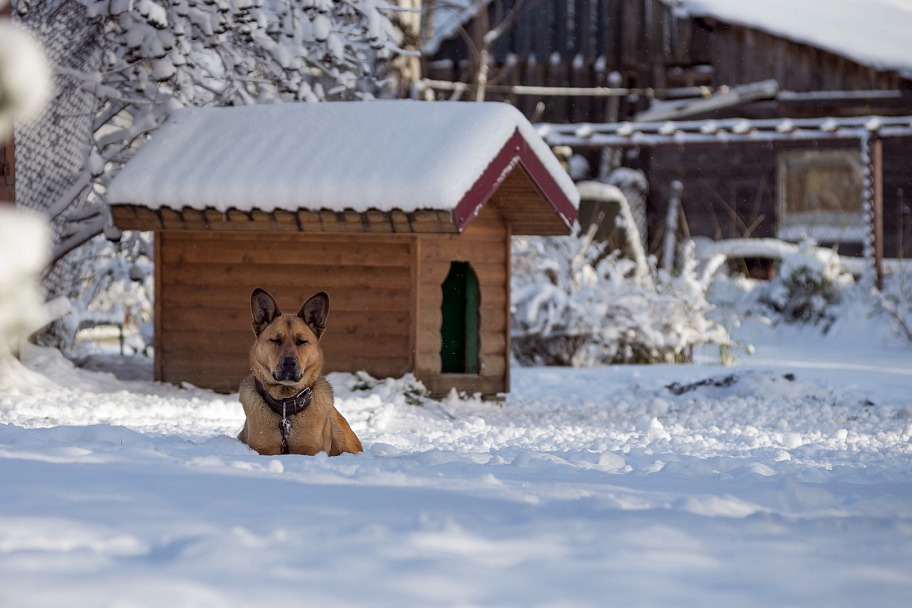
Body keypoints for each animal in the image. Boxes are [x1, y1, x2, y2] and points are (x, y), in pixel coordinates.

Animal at [239, 290, 364, 456]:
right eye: (275, 340)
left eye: (302, 341)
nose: (289, 363)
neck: (285, 408)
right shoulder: (263, 448)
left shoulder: (309, 449)